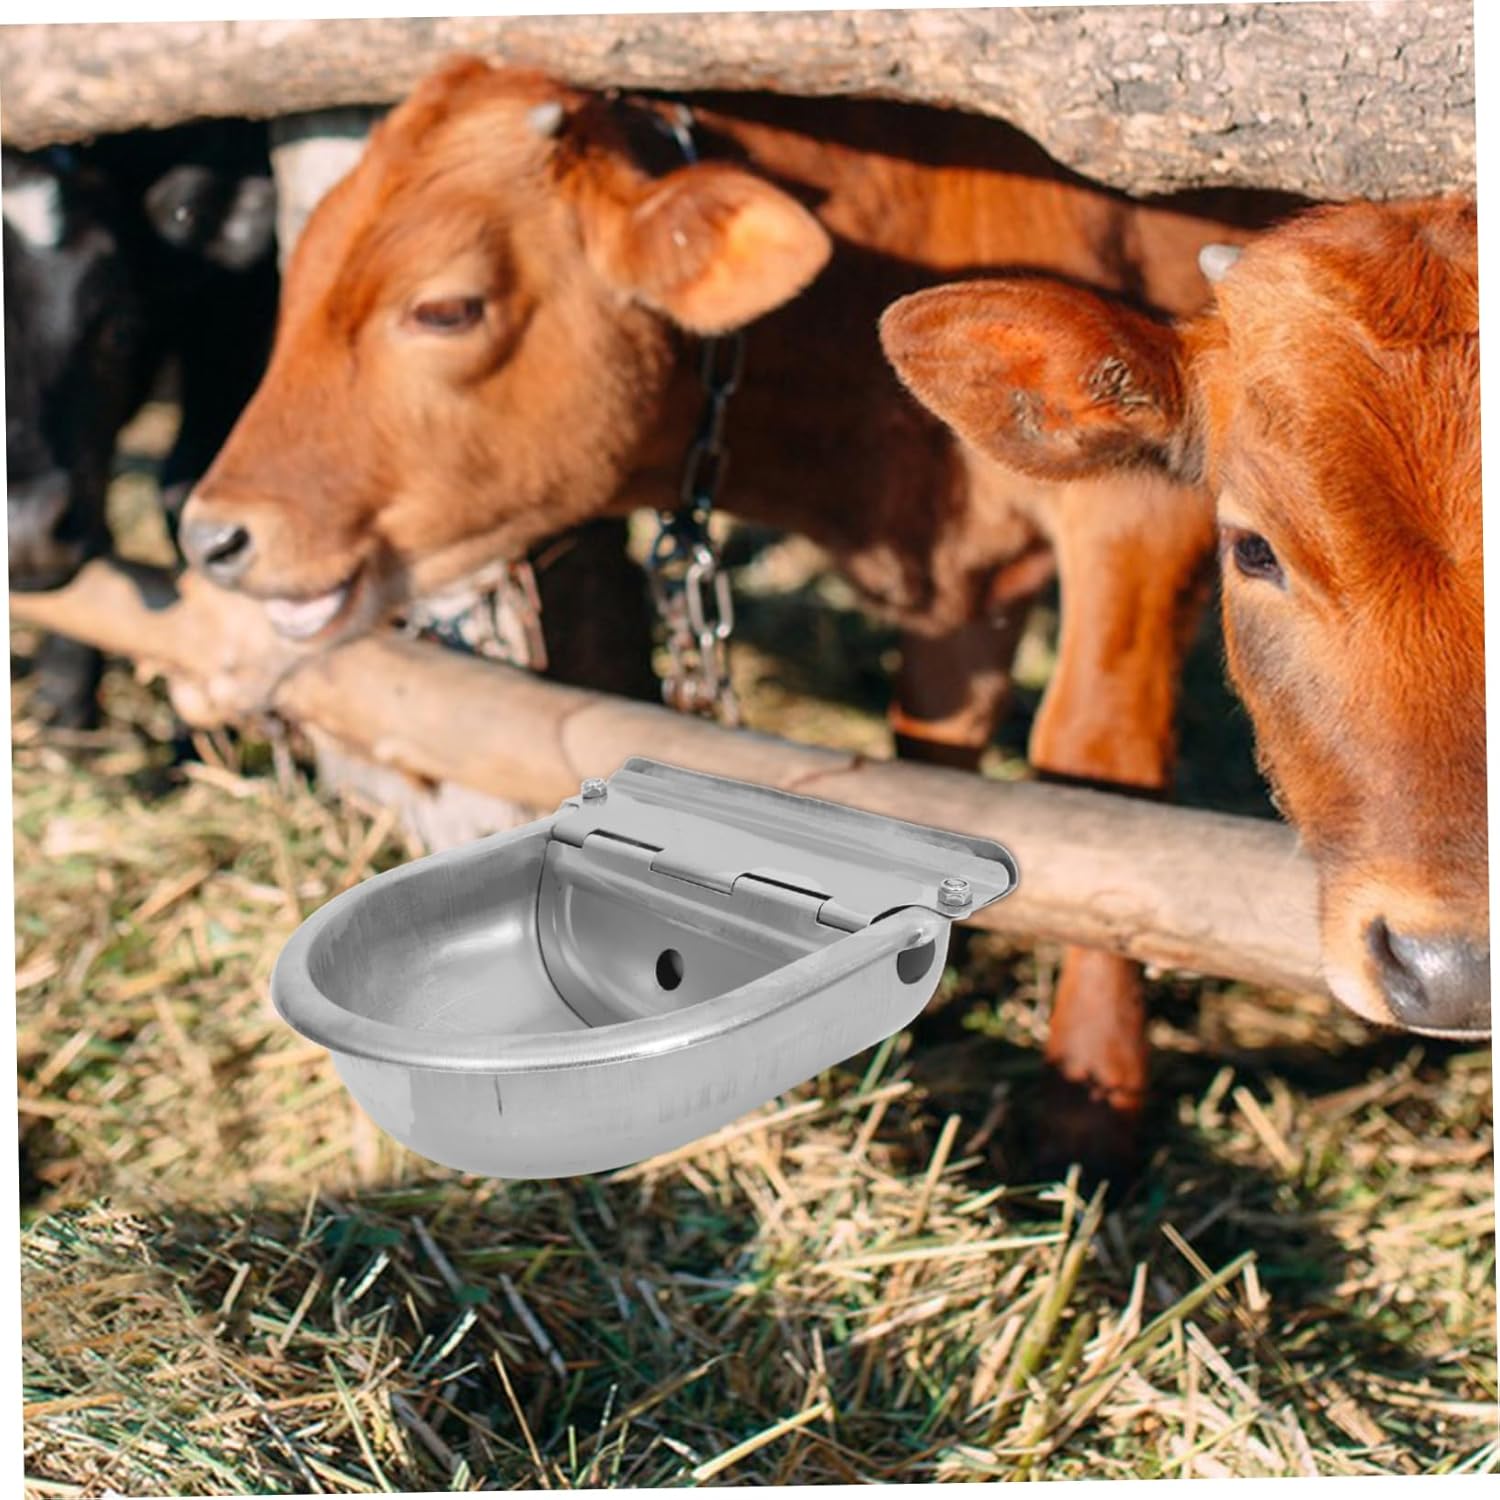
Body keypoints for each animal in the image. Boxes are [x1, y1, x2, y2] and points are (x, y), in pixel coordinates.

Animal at [178, 58, 1301, 1176]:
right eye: (294, 274)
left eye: (446, 309)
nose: (210, 534)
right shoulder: (962, 588)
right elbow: (934, 750)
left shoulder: (1142, 509)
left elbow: (1093, 758)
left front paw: (1089, 1097)